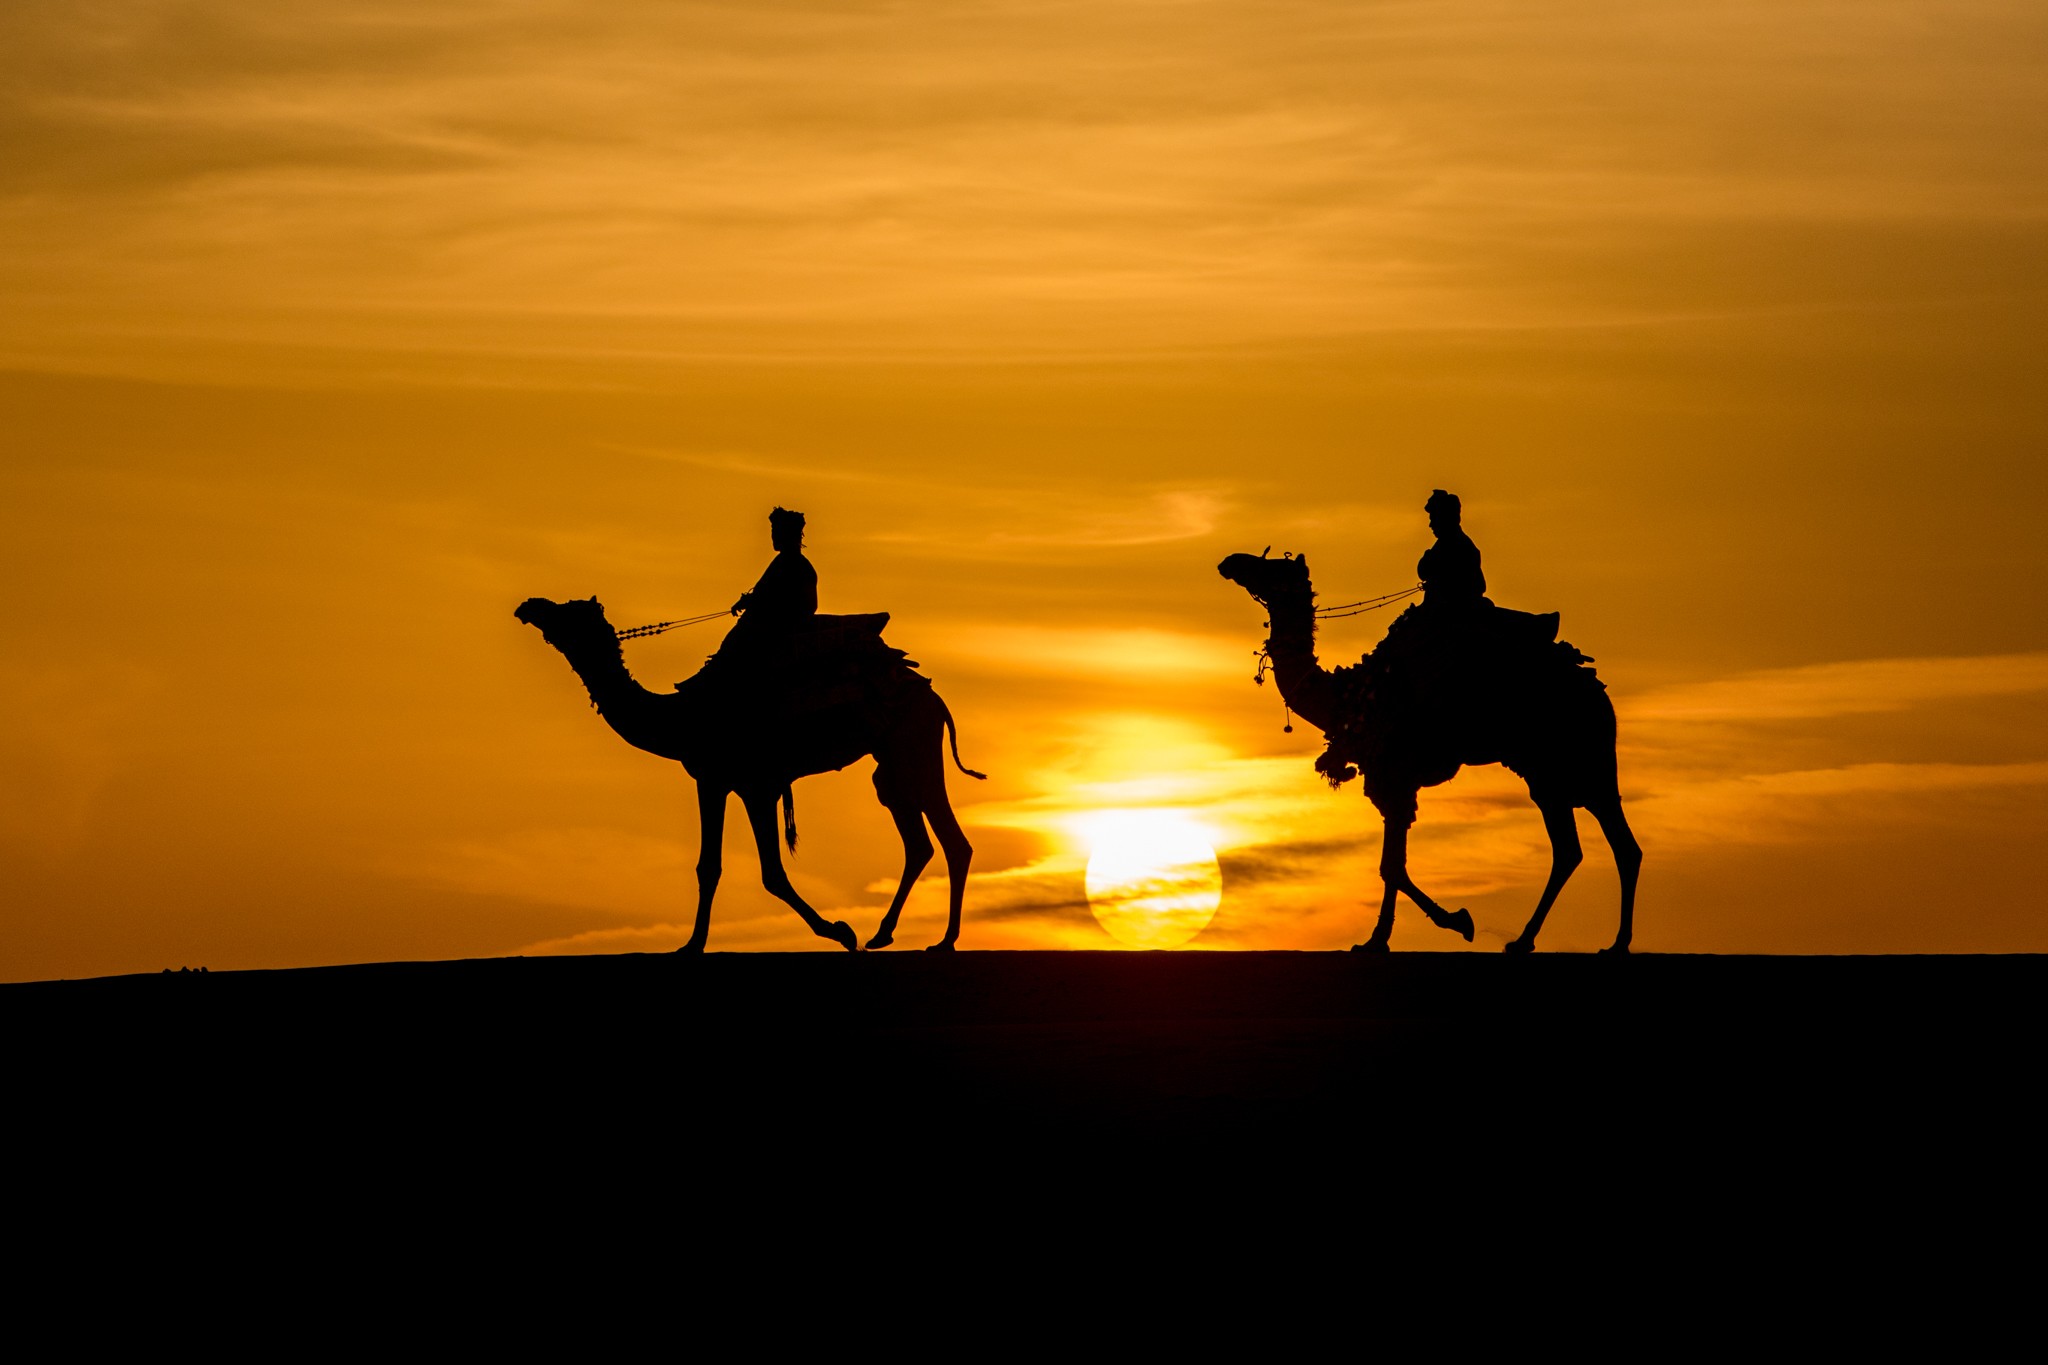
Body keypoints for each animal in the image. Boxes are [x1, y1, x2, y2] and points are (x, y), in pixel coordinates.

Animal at [520, 597, 983, 949]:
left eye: (568, 611)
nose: (530, 606)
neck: (679, 719)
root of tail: (932, 695)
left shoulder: (752, 784)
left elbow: (768, 873)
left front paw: (839, 932)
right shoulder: (720, 781)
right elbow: (711, 867)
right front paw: (692, 945)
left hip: (912, 744)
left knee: (948, 840)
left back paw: (942, 941)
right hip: (894, 762)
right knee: (920, 839)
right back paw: (886, 934)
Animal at [1220, 548, 1638, 957]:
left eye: (1273, 566)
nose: (1230, 562)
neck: (1346, 696)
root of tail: (1600, 695)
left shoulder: (1394, 776)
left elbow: (1391, 866)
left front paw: (1427, 928)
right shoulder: (1393, 781)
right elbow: (1393, 865)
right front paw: (1413, 930)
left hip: (1569, 763)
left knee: (1597, 845)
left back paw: (1591, 944)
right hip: (1560, 771)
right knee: (1593, 847)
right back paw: (1557, 942)